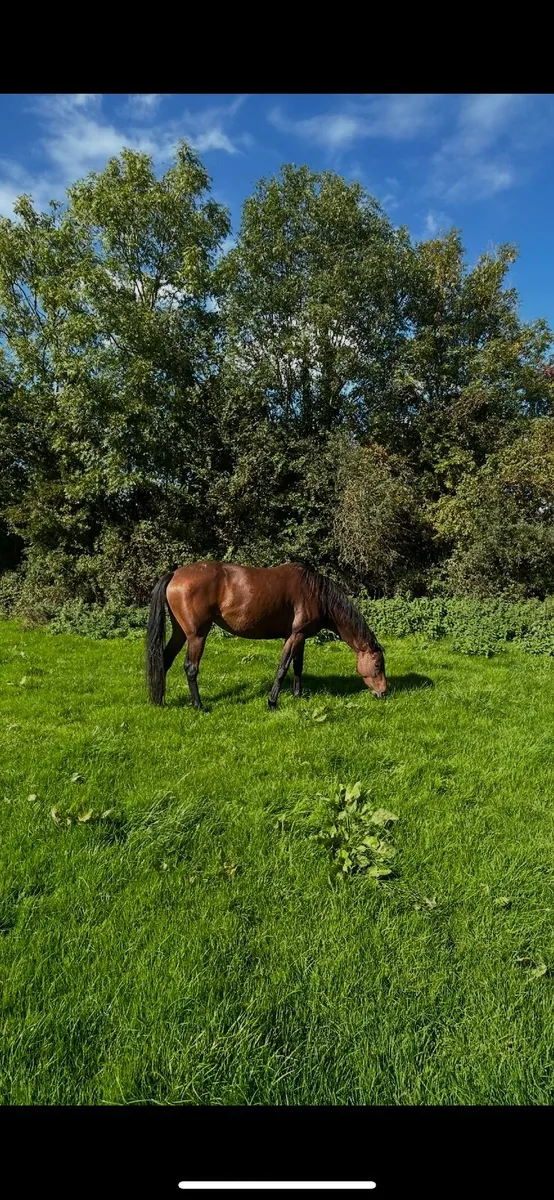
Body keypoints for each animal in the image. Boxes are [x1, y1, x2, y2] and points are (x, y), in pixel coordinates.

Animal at [145, 561, 387, 712]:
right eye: (377, 665)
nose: (383, 693)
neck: (316, 593)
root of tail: (175, 574)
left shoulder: (300, 637)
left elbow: (297, 666)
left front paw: (298, 695)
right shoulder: (295, 636)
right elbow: (282, 668)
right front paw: (272, 702)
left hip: (180, 633)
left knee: (164, 660)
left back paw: (160, 700)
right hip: (196, 635)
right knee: (190, 668)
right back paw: (199, 706)